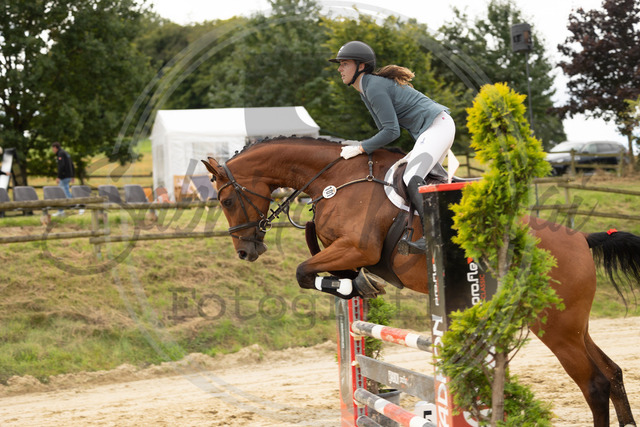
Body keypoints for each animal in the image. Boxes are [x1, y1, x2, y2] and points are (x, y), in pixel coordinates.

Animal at [202, 136, 639, 427]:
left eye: (226, 200)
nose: (246, 252)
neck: (334, 178)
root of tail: (580, 239)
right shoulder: (343, 251)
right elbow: (318, 269)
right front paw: (356, 286)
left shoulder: (356, 247)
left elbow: (304, 272)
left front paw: (352, 286)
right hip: (572, 324)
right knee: (613, 373)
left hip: (554, 324)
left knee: (594, 383)